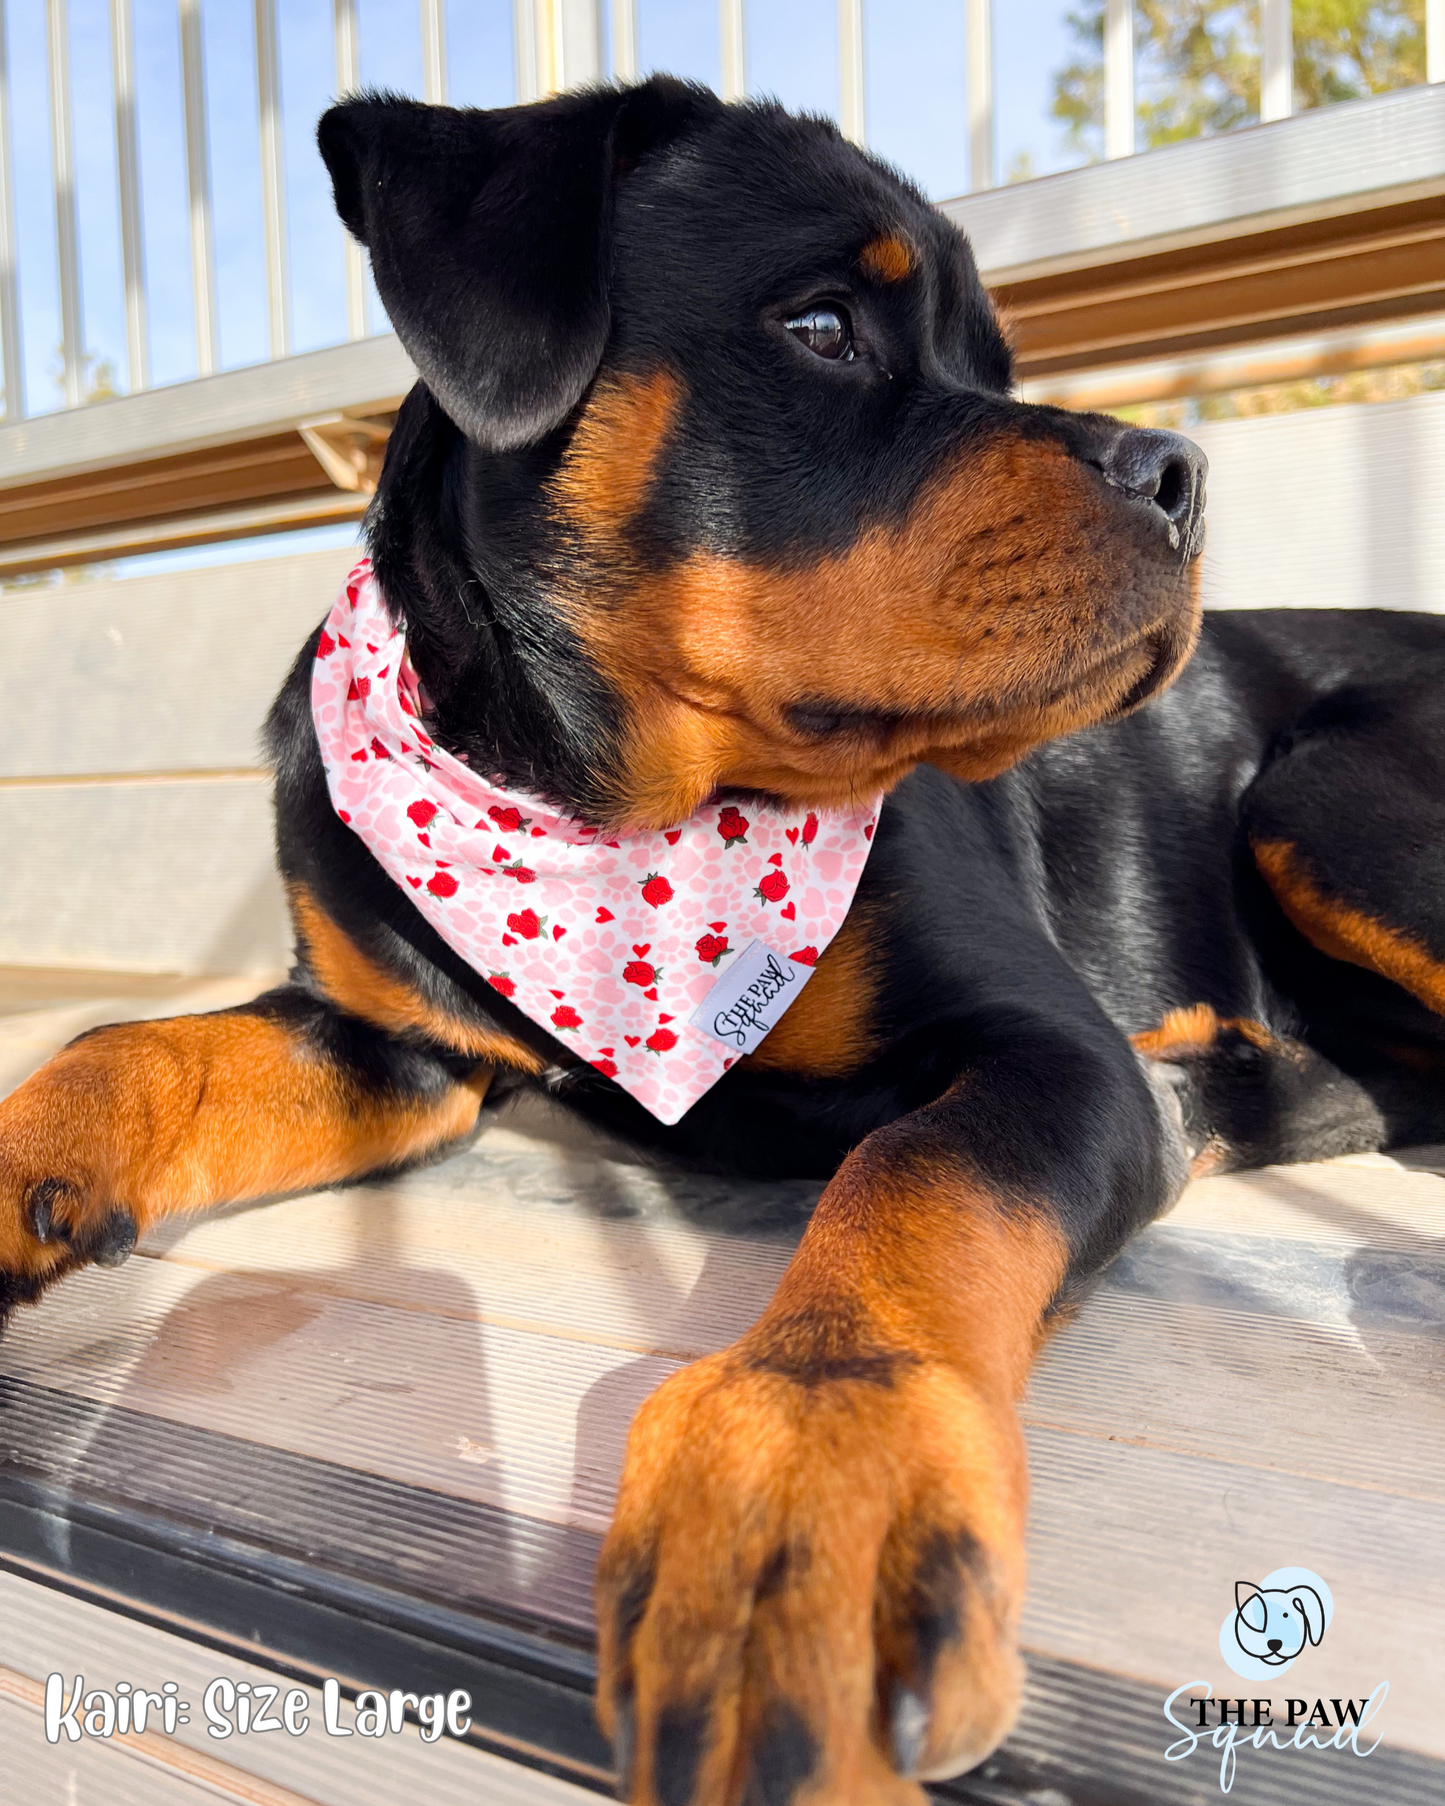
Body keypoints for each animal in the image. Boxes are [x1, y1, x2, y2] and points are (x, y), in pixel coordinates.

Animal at [2, 74, 1445, 1806]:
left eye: (992, 367)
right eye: (823, 325)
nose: (1180, 470)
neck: (604, 814)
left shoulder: (1046, 1047)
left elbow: (919, 1172)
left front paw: (809, 1477)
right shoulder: (385, 1038)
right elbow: (141, 1045)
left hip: (1324, 792)